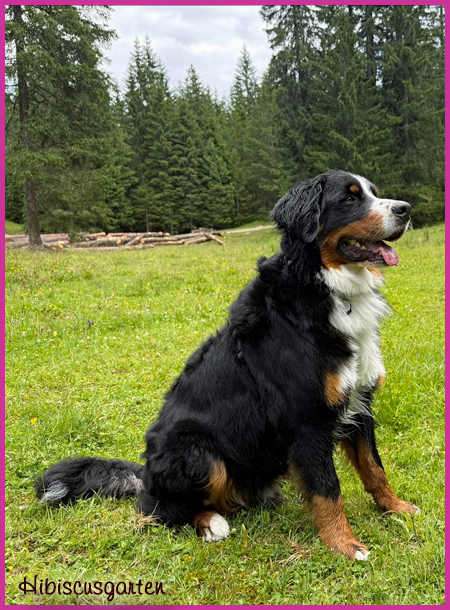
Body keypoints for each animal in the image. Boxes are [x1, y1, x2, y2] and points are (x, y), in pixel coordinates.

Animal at [36, 170, 420, 560]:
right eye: (349, 198)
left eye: (373, 192)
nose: (405, 209)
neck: (324, 286)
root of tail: (145, 476)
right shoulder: (306, 418)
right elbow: (327, 489)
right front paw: (344, 544)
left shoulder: (359, 401)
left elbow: (374, 468)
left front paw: (397, 508)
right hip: (199, 451)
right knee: (161, 509)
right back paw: (211, 523)